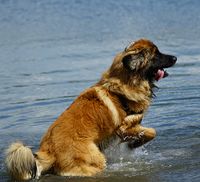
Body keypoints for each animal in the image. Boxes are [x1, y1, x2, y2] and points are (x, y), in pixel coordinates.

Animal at [4, 39, 177, 180]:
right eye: (156, 54)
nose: (175, 58)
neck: (123, 84)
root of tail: (49, 152)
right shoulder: (124, 127)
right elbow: (152, 131)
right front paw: (134, 143)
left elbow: (150, 132)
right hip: (96, 159)